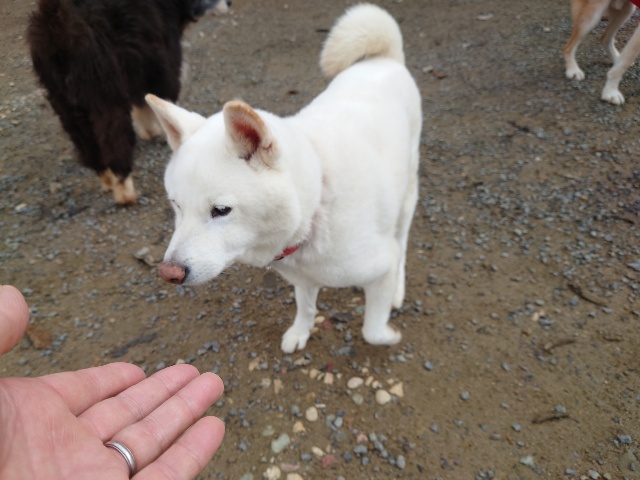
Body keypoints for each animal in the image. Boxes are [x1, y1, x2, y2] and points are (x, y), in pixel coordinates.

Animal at [27, 0, 224, 204]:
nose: (229, 3)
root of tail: (56, 24)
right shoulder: (163, 65)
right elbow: (163, 101)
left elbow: (141, 104)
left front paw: (149, 132)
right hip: (105, 101)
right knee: (115, 143)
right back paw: (125, 192)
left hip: (67, 106)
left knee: (88, 147)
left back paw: (106, 180)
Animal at [147, 3, 422, 353]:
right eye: (176, 206)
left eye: (221, 211)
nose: (169, 272)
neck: (316, 202)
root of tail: (384, 60)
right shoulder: (303, 279)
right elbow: (306, 307)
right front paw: (300, 332)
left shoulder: (380, 265)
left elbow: (371, 329)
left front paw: (389, 336)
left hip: (407, 194)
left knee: (402, 240)